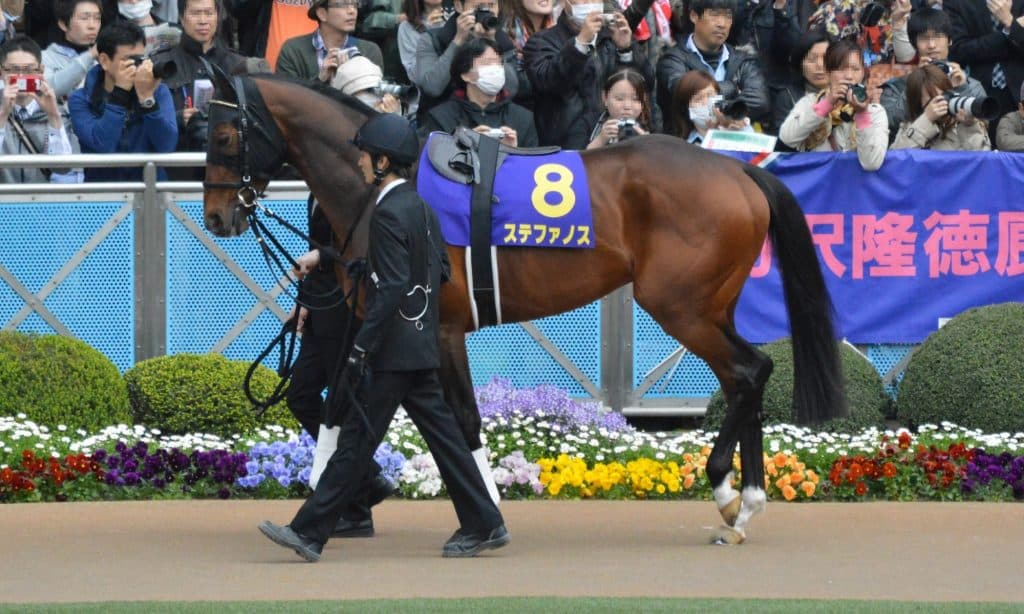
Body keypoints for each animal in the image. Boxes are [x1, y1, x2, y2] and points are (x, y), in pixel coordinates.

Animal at [200, 72, 846, 544]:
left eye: (225, 136)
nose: (215, 217)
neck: (381, 186)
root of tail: (736, 171)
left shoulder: (438, 328)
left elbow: (458, 420)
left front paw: (482, 512)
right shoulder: (382, 326)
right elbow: (351, 410)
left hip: (681, 307)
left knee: (749, 372)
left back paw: (727, 490)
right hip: (711, 307)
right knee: (748, 377)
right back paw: (743, 503)